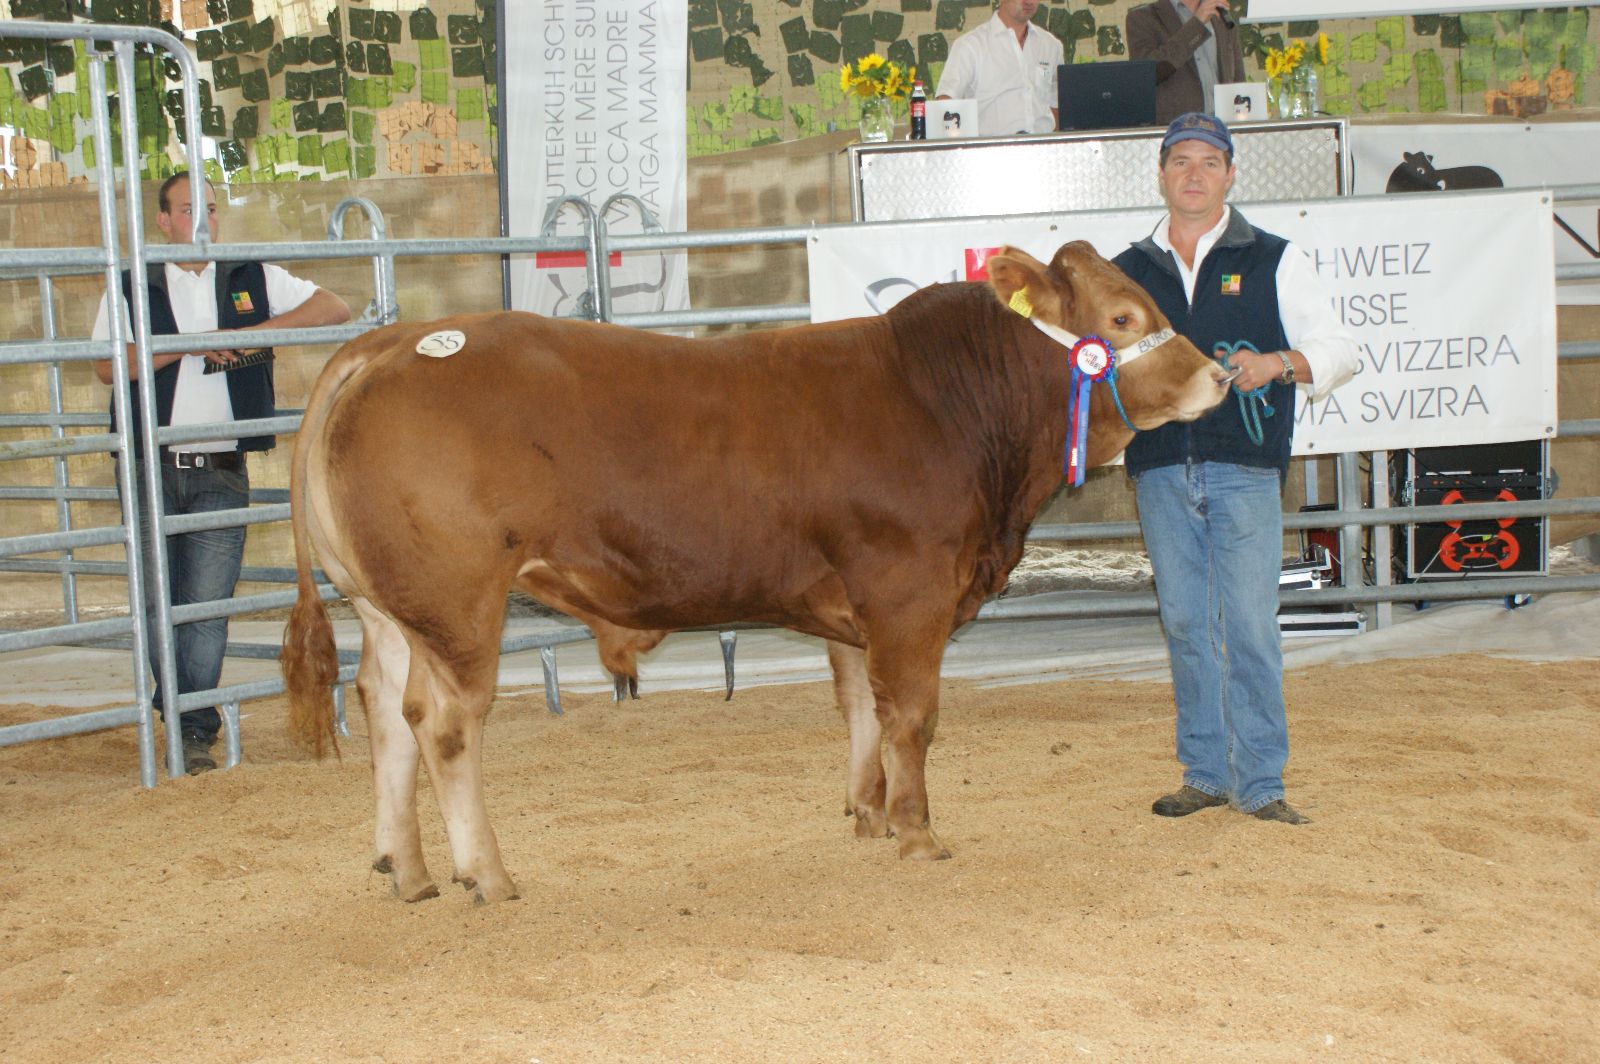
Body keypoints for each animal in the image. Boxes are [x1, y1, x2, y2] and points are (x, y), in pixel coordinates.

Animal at [280, 241, 1234, 904]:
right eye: (1121, 318)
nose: (1219, 378)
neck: (950, 404)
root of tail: (391, 342)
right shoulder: (911, 591)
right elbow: (913, 716)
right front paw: (919, 834)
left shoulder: (856, 608)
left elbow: (862, 712)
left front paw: (868, 814)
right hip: (459, 603)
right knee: (443, 725)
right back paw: (486, 874)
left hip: (384, 606)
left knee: (385, 712)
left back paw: (406, 870)